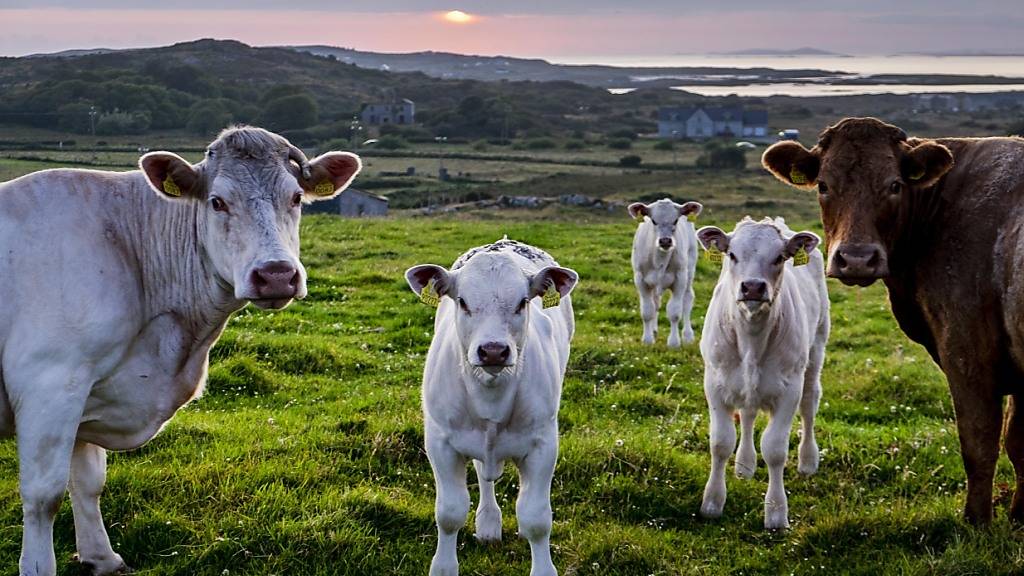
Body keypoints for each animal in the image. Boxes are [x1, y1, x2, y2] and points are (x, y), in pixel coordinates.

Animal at [0, 126, 360, 573]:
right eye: (217, 201)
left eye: (295, 198)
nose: (277, 275)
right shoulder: (50, 380)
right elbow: (42, 497)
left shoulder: (86, 391)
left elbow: (87, 481)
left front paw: (102, 557)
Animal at [405, 237, 581, 573]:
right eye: (462, 301)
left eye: (523, 302)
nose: (493, 351)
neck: (490, 396)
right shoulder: (440, 442)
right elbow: (449, 513)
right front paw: (444, 567)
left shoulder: (543, 444)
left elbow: (536, 518)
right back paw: (488, 522)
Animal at [622, 198, 704, 344]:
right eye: (653, 220)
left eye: (675, 220)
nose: (665, 240)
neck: (659, 259)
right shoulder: (640, 279)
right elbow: (647, 311)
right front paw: (647, 339)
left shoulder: (680, 278)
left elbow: (675, 312)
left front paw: (674, 342)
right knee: (656, 302)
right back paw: (654, 330)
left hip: (690, 270)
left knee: (687, 299)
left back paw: (688, 335)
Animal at [696, 216, 831, 528]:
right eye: (732, 254)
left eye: (780, 257)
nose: (753, 287)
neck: (751, 339)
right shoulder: (715, 384)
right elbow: (720, 443)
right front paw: (712, 502)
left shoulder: (789, 390)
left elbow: (775, 449)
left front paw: (777, 512)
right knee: (747, 414)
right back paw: (745, 465)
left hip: (816, 349)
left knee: (809, 405)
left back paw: (808, 461)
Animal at [765, 117, 1024, 524]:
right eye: (823, 185)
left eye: (894, 185)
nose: (856, 259)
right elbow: (1018, 444)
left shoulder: (967, 350)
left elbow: (979, 442)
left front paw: (977, 522)